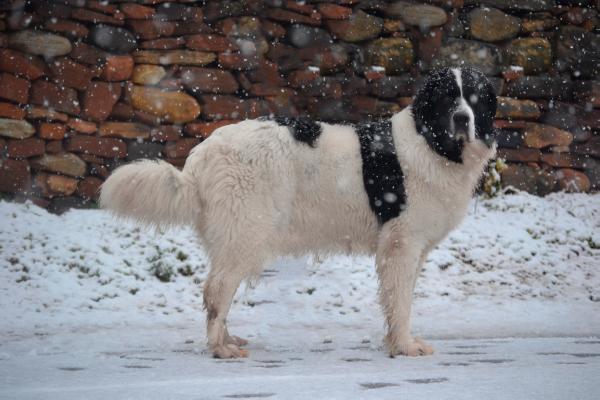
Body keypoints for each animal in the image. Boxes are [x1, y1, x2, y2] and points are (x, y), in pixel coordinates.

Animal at [102, 66, 496, 360]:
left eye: (475, 100)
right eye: (447, 98)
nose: (462, 119)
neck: (431, 143)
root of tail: (203, 153)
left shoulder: (411, 248)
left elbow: (398, 297)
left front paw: (396, 342)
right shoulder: (402, 243)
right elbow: (400, 301)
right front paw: (403, 346)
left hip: (234, 236)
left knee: (218, 288)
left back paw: (229, 339)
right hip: (246, 231)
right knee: (217, 290)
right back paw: (220, 348)